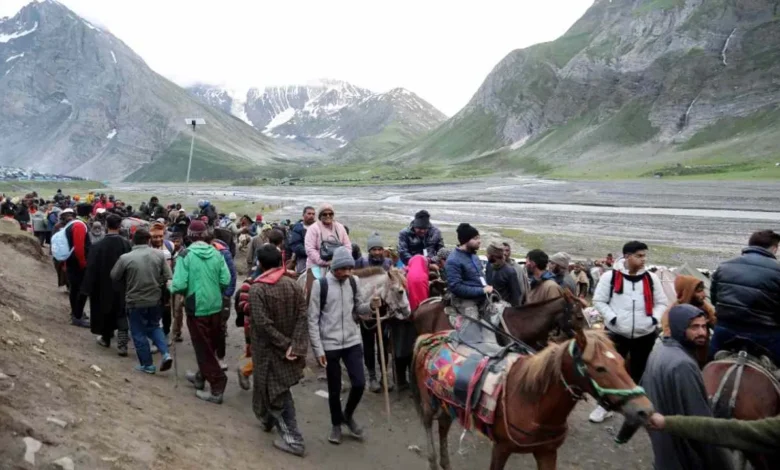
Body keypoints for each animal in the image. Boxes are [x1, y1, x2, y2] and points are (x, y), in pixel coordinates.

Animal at [412, 328, 656, 468]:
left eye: (622, 361)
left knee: (443, 426)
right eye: (600, 368)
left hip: (446, 404)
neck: (531, 402)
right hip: (428, 403)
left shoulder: (547, 453)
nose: (644, 410)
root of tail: (431, 336)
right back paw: (433, 462)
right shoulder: (501, 449)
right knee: (428, 425)